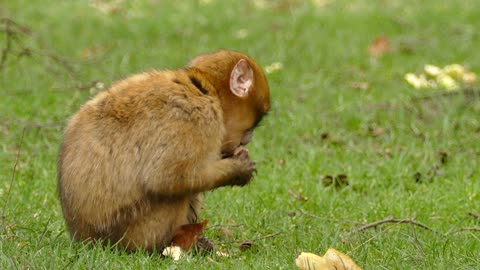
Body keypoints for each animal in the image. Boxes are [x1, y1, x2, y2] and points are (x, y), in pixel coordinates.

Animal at [56, 50, 270, 253]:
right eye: (253, 125)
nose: (247, 139)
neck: (205, 90)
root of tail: (84, 238)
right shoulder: (196, 117)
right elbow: (166, 178)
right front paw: (238, 169)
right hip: (134, 231)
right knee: (174, 193)